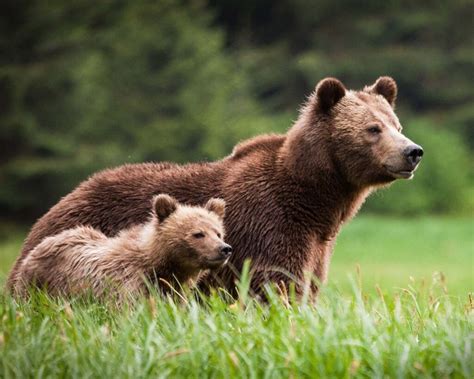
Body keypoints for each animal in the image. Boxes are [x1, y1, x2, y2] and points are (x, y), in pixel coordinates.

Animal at [7, 77, 422, 296]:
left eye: (396, 124)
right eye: (373, 128)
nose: (413, 152)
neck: (318, 199)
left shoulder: (317, 244)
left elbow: (308, 285)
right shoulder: (270, 224)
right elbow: (275, 285)